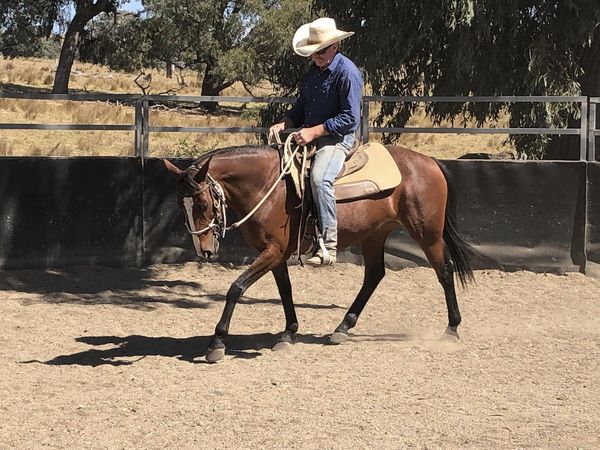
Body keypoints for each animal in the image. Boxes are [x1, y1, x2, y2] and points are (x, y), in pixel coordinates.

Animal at [163, 144, 478, 362]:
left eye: (202, 203)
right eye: (180, 205)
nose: (204, 250)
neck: (268, 187)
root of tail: (429, 162)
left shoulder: (272, 251)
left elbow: (236, 288)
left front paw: (217, 342)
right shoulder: (276, 254)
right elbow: (285, 291)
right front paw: (288, 332)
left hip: (427, 233)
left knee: (444, 271)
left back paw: (451, 329)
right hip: (376, 234)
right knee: (374, 275)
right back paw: (343, 327)